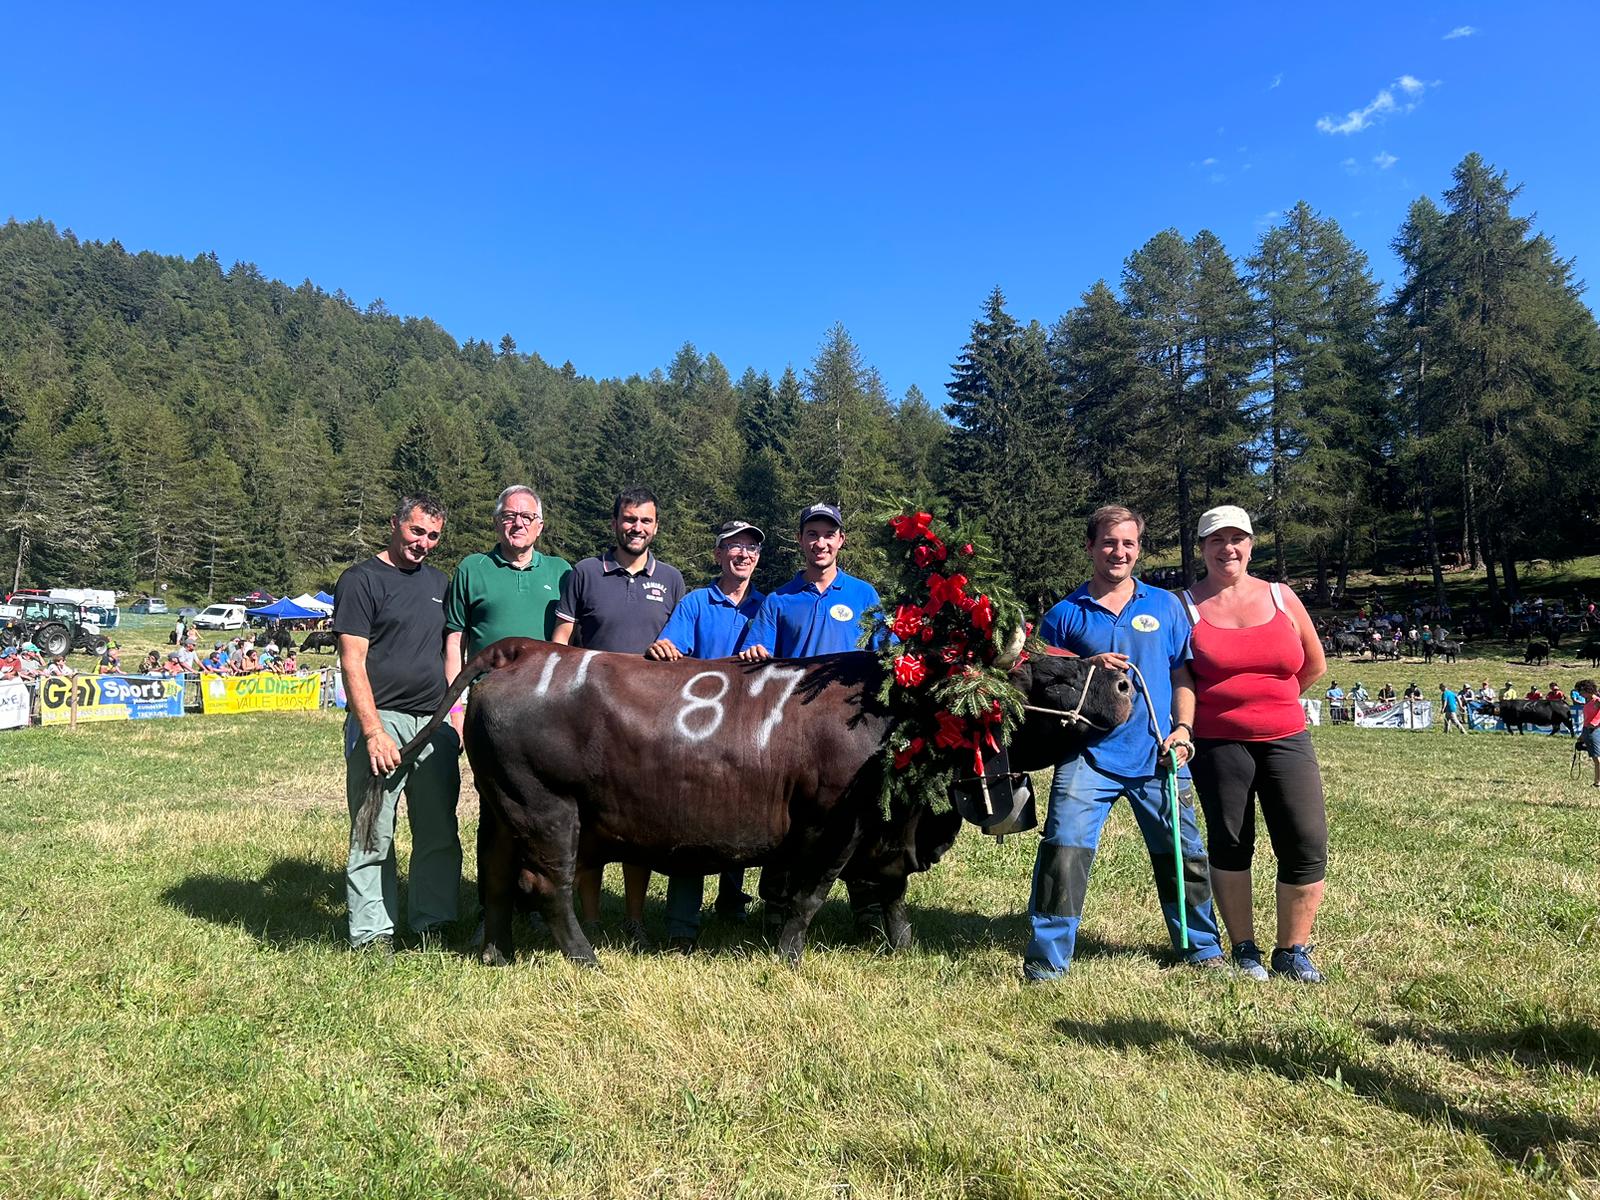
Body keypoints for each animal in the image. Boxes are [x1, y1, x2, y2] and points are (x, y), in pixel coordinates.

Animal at [363, 640, 1139, 966]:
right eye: (1052, 672)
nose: (1126, 682)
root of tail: (521, 652)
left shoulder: (886, 835)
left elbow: (888, 895)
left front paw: (900, 946)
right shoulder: (835, 826)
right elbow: (809, 893)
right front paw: (789, 954)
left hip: (502, 811)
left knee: (497, 880)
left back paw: (496, 953)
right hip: (547, 810)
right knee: (546, 884)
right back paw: (584, 957)